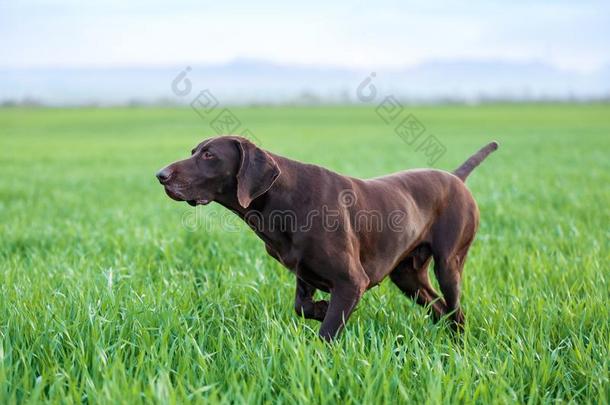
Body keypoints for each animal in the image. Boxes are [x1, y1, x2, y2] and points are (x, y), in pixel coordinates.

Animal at [154, 135, 496, 338]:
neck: (282, 200)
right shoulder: (304, 274)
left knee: (456, 311)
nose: (161, 175)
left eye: (209, 155)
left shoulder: (351, 281)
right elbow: (302, 307)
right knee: (440, 309)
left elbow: (328, 333)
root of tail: (456, 178)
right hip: (407, 276)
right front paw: (320, 309)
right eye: (194, 152)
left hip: (448, 264)